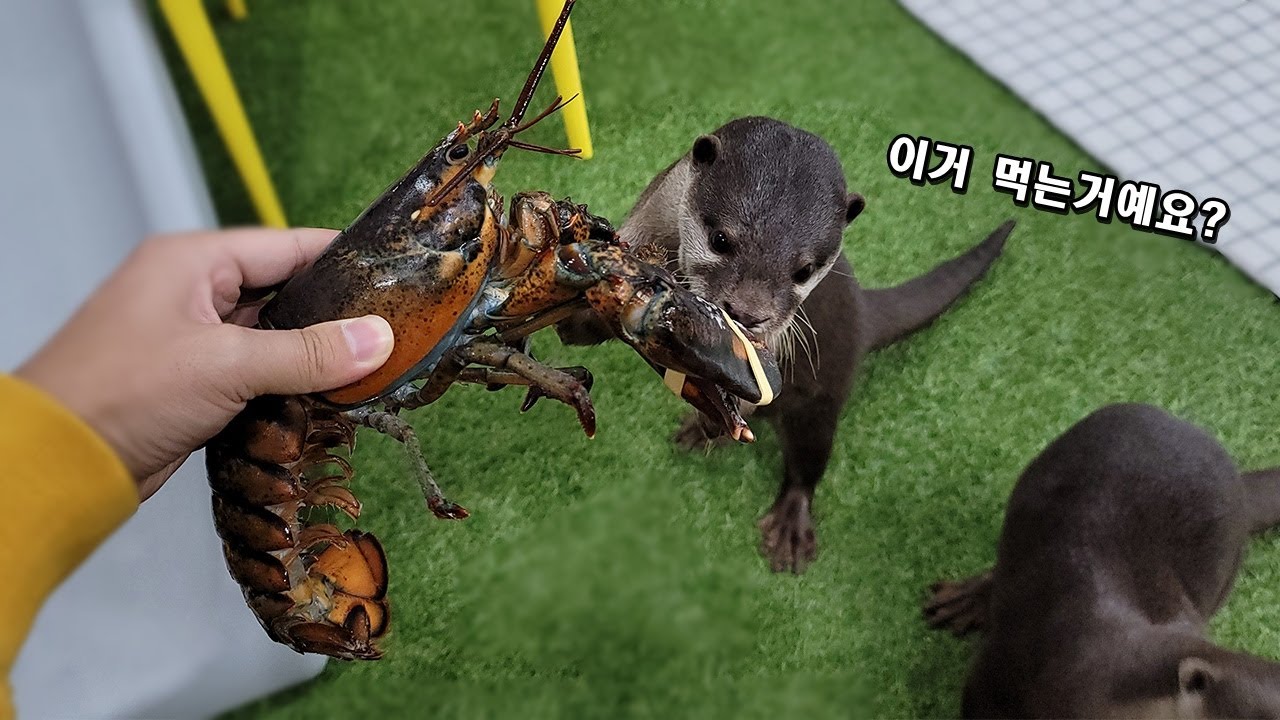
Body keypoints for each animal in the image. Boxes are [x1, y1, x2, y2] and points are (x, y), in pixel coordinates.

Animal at [557, 116, 1011, 572]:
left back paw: (786, 519)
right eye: (721, 240)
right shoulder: (649, 213)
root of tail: (862, 310)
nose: (747, 311)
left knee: (807, 463)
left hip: (822, 399)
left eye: (804, 270)